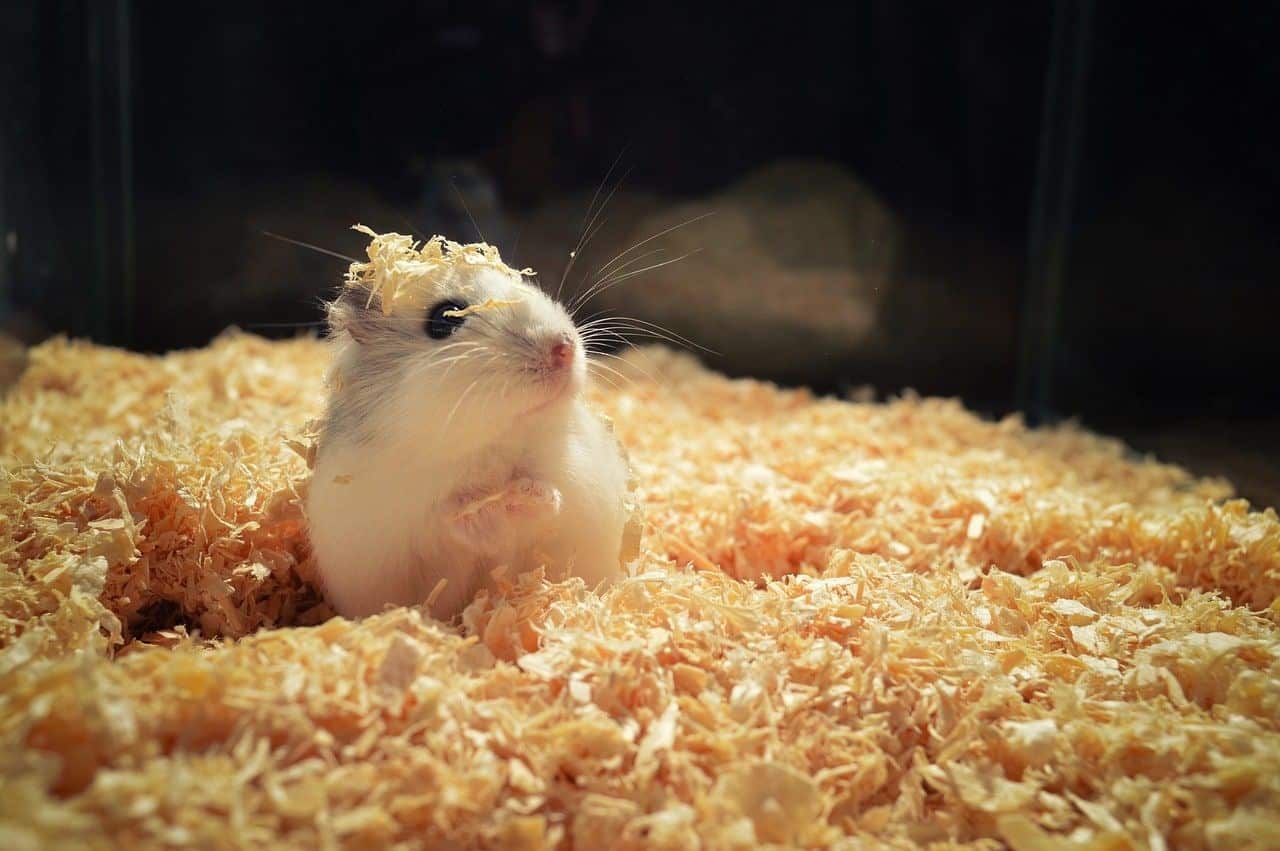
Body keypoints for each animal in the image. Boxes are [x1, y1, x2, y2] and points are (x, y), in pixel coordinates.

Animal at [306, 227, 636, 621]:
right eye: (444, 318)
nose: (565, 348)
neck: (489, 443)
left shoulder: (576, 482)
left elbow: (550, 499)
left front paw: (527, 495)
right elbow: (452, 523)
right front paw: (487, 509)